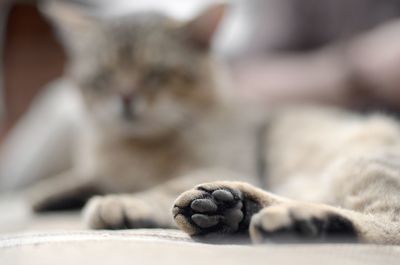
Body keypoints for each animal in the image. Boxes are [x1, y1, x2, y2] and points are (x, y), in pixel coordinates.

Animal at [28, 1, 400, 243]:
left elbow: (159, 188)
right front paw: (47, 193)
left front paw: (121, 201)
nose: (127, 99)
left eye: (157, 75)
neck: (137, 146)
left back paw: (297, 221)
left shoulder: (223, 162)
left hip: (357, 162)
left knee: (386, 226)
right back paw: (232, 209)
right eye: (103, 78)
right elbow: (85, 177)